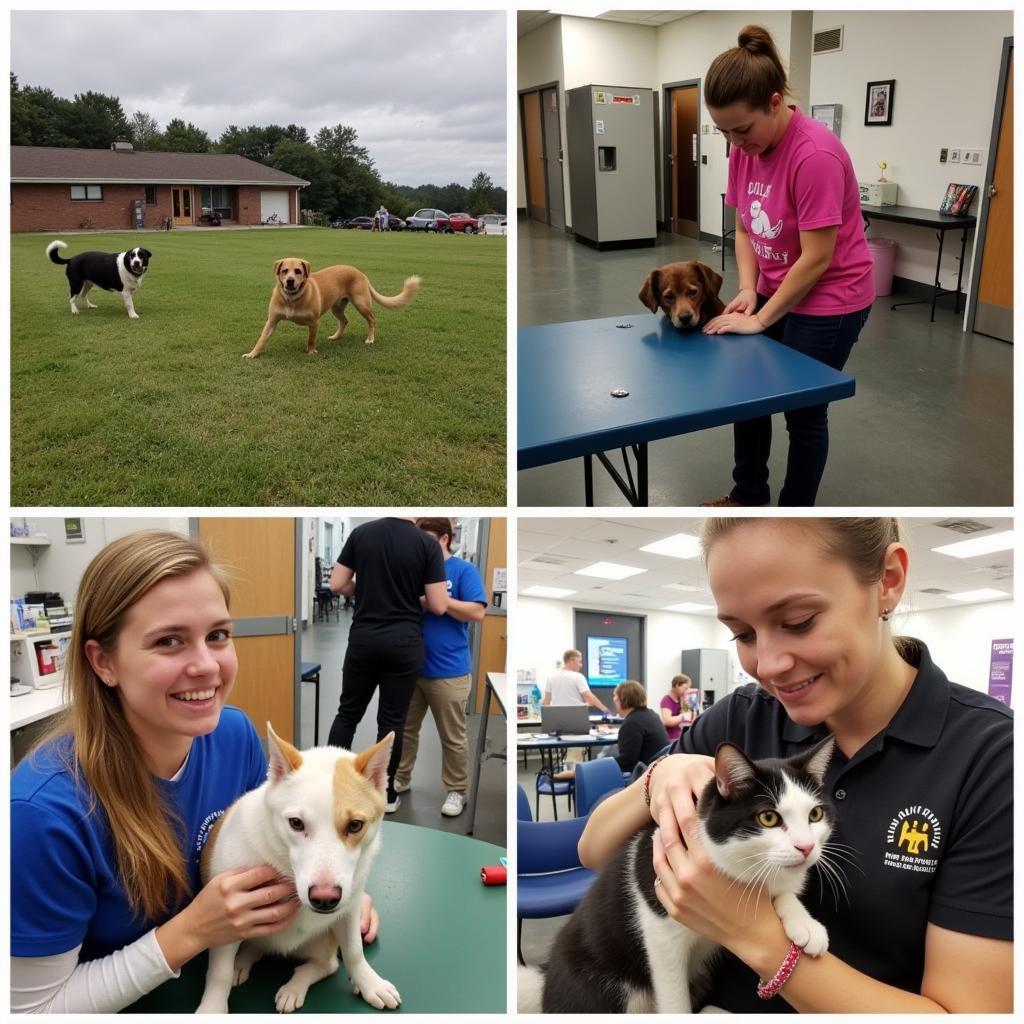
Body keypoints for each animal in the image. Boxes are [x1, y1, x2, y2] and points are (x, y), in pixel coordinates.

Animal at [195, 724, 399, 1011]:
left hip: (320, 942)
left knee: (326, 964)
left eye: (355, 825)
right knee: (258, 946)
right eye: (296, 823)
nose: (325, 899)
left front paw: (369, 982)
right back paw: (242, 961)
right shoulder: (226, 919)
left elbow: (354, 952)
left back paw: (295, 986)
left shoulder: (349, 909)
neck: (283, 865)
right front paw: (212, 1008)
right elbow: (219, 974)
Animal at [243, 260, 419, 360]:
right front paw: (253, 354)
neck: (292, 299)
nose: (290, 281)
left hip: (361, 304)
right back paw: (336, 337)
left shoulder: (314, 322)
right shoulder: (272, 321)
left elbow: (311, 339)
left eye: (298, 271)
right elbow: (261, 339)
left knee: (372, 320)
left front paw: (311, 352)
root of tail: (360, 272)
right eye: (284, 271)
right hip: (336, 307)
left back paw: (370, 338)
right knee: (345, 321)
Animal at [520, 737, 839, 1015]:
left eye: (815, 815)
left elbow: (780, 887)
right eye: (769, 818)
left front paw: (804, 922)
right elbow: (673, 994)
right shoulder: (660, 928)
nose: (806, 847)